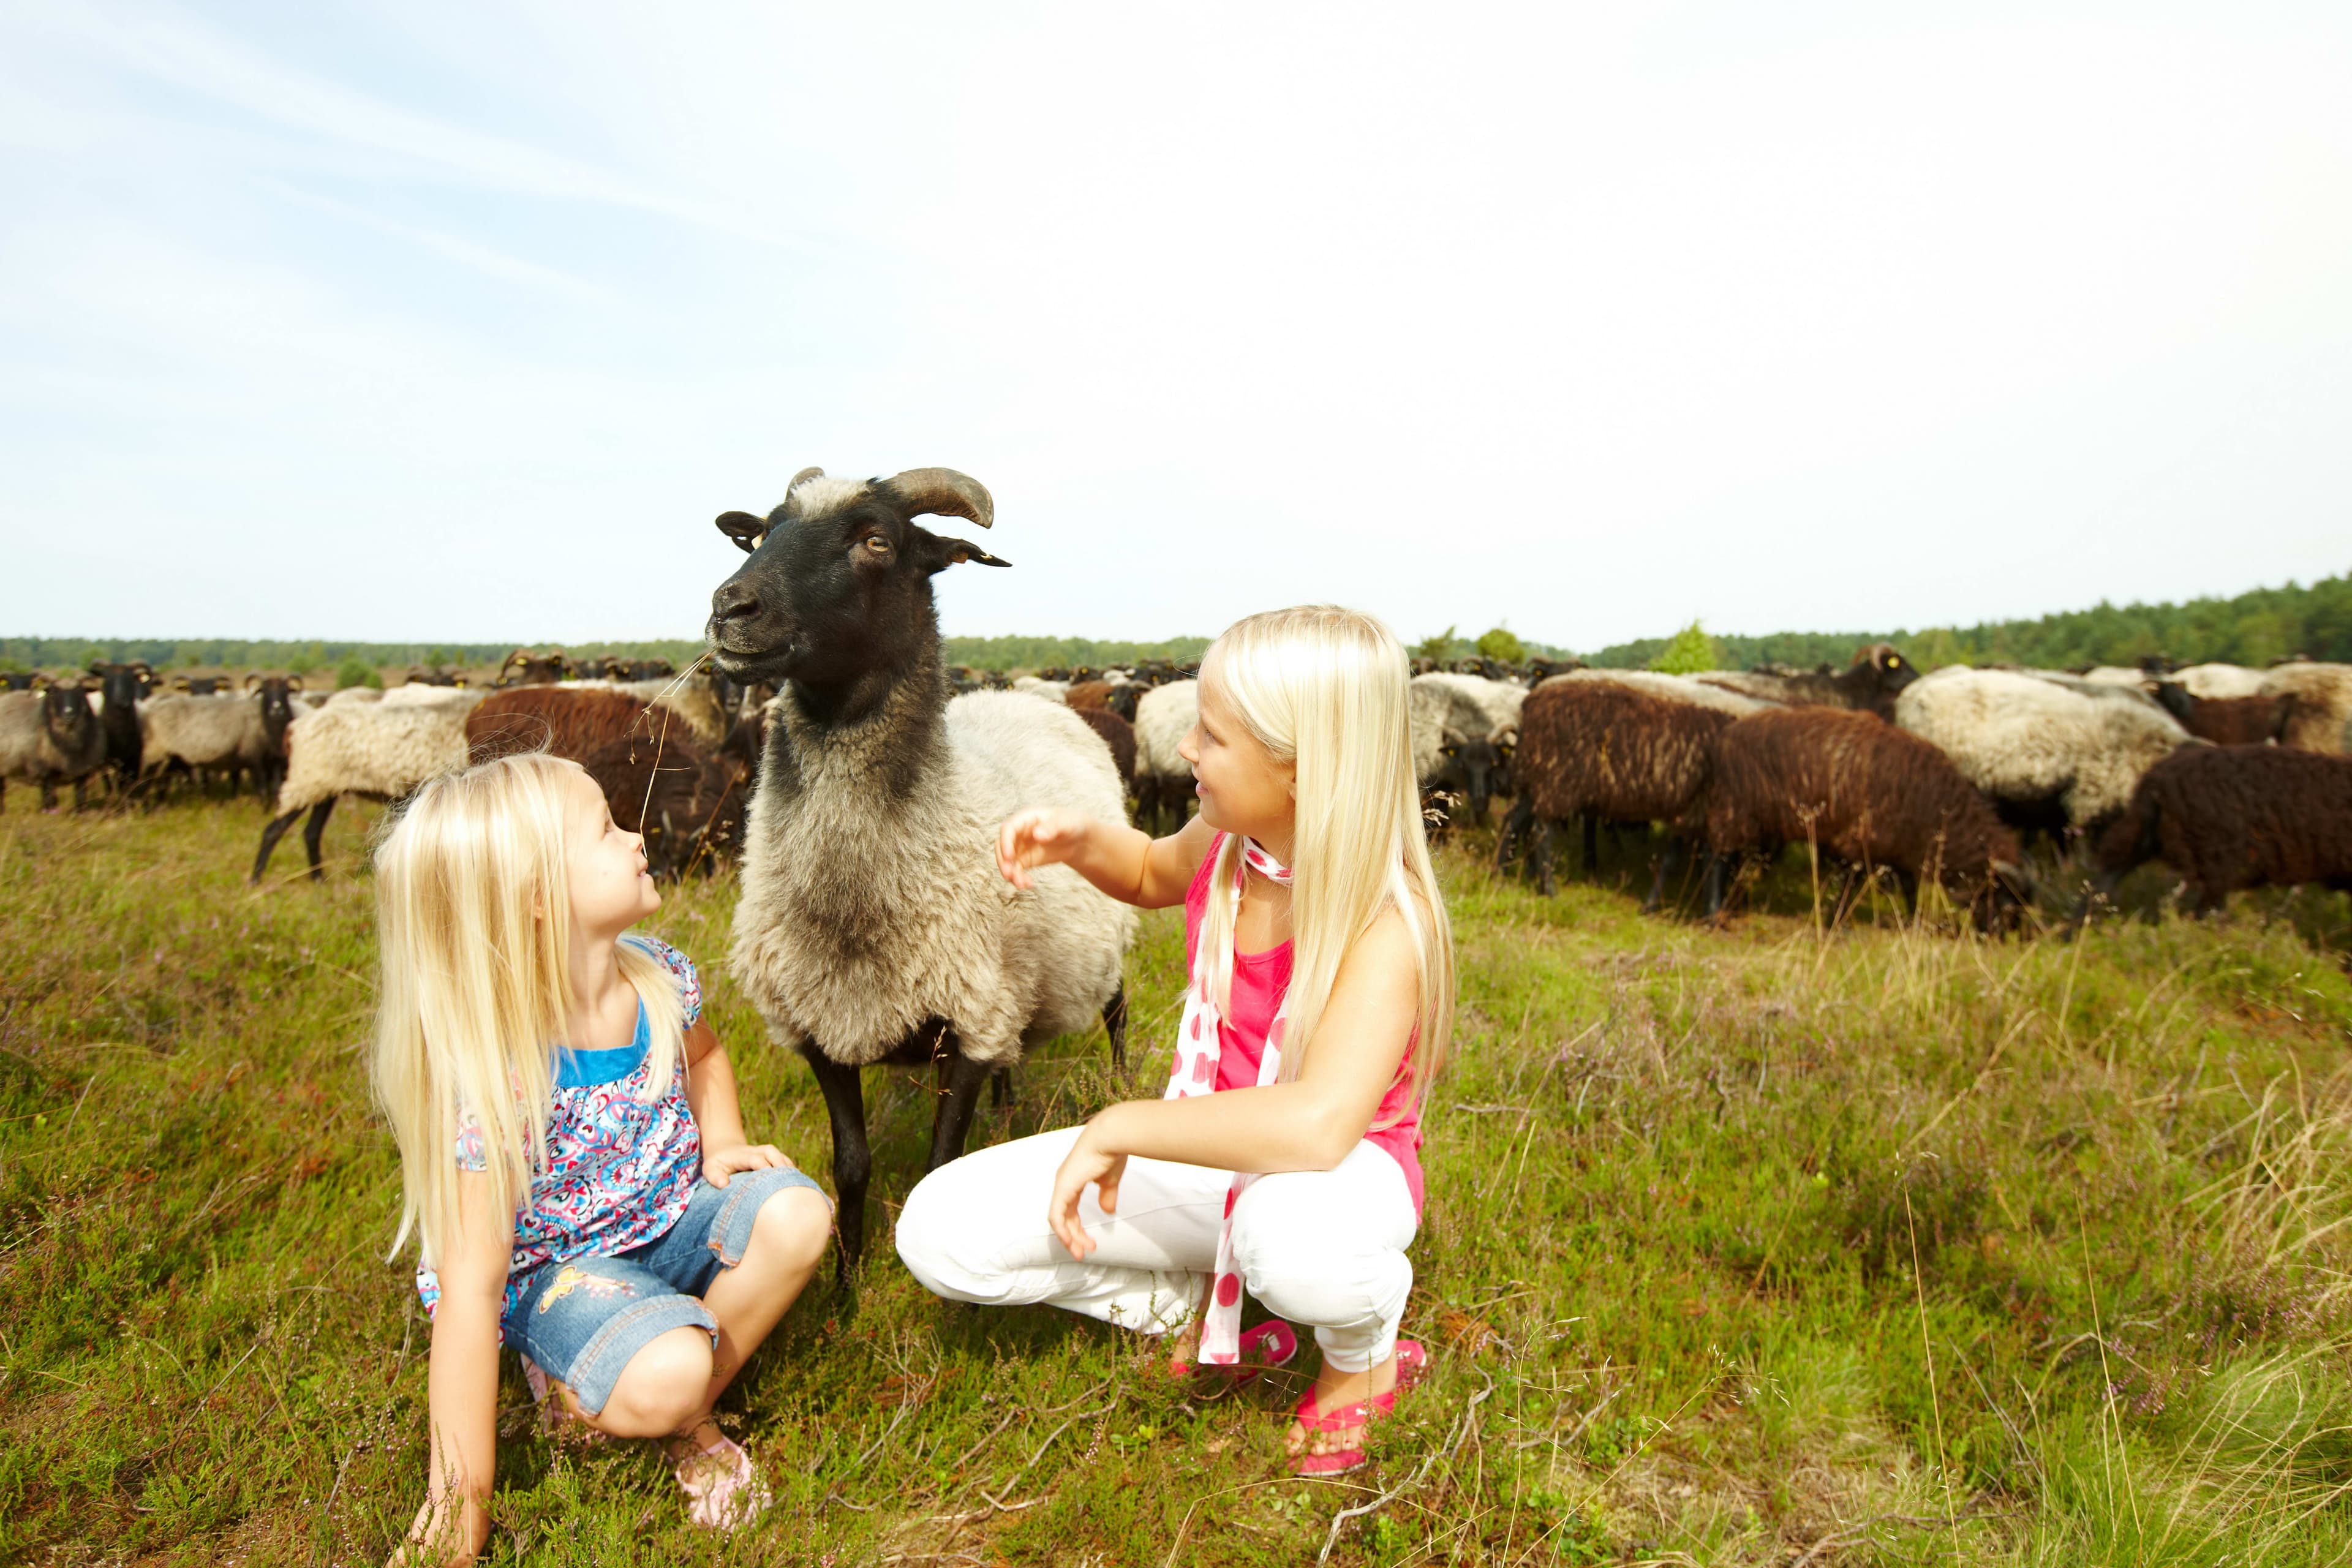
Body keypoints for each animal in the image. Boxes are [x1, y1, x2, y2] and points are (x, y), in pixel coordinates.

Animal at [0, 682, 107, 818]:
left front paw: (80, 814)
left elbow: (80, 797)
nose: (69, 715)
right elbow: (50, 799)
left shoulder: (82, 772)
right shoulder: (45, 771)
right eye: (53, 693)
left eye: (81, 692)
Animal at [701, 463, 1133, 1278]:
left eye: (877, 541)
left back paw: (1124, 1083)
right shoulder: (820, 1025)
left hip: (1104, 938)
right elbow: (851, 1167)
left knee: (1118, 1013)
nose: (729, 608)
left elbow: (939, 1168)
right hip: (1011, 981)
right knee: (1013, 1051)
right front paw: (845, 1283)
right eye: (763, 530)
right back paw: (1007, 1107)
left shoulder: (964, 1023)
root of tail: (1017, 698)